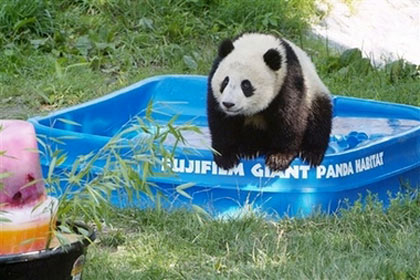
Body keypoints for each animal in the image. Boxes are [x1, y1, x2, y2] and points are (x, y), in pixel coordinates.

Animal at [206, 32, 332, 171]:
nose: (228, 104)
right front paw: (226, 157)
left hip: (314, 91)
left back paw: (311, 154)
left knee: (319, 119)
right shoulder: (215, 79)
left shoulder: (289, 81)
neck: (257, 44)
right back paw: (250, 149)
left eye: (246, 85)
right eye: (225, 81)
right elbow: (221, 122)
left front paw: (278, 158)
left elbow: (290, 119)